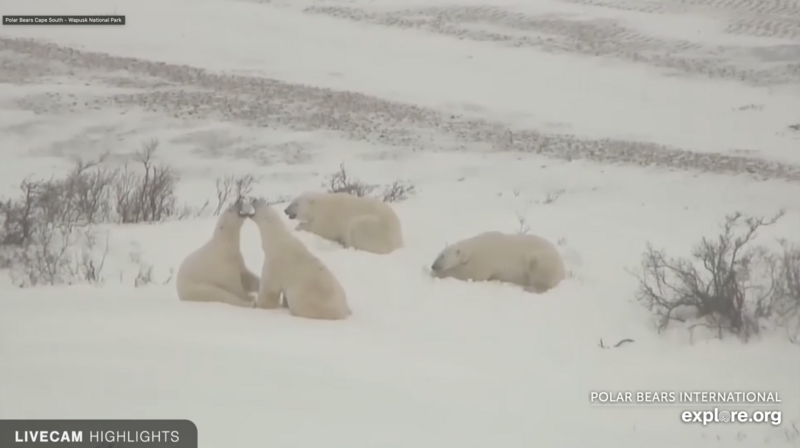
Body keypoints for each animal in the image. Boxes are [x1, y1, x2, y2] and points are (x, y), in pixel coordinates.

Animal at [430, 231, 566, 294]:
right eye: (438, 254)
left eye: (442, 256)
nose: (434, 266)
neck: (471, 249)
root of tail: (563, 270)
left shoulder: (483, 258)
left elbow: (472, 273)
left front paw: (439, 274)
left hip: (542, 259)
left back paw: (530, 288)